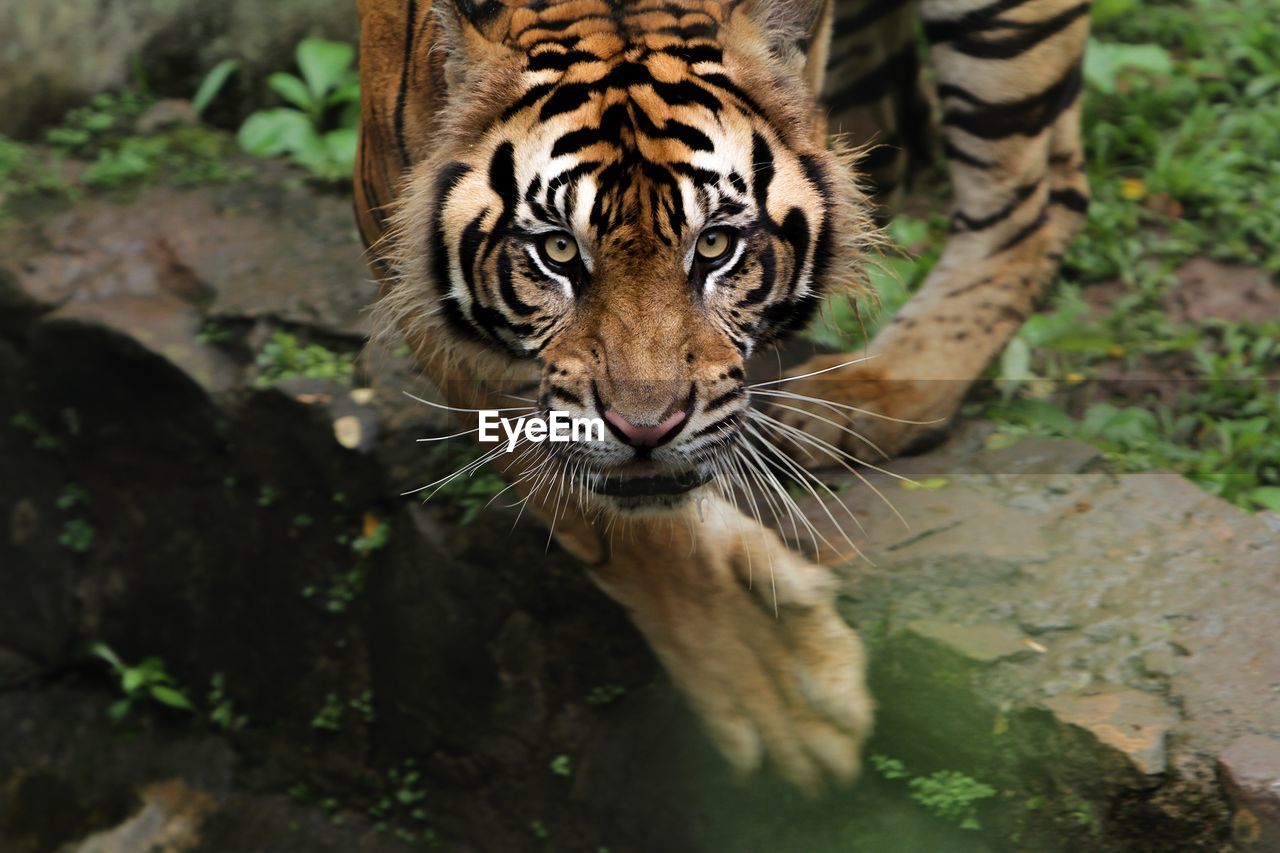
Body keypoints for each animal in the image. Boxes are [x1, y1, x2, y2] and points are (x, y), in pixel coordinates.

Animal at [353, 0, 1090, 788]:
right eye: (556, 251)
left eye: (714, 246)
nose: (647, 427)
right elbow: (618, 519)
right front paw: (772, 686)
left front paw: (785, 692)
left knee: (1041, 199)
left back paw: (872, 391)